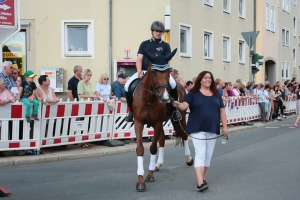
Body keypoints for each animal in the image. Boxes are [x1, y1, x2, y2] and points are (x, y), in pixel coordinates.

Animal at [132, 48, 193, 192]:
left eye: (168, 71)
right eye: (154, 71)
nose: (165, 97)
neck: (149, 99)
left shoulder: (157, 123)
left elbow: (153, 148)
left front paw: (149, 175)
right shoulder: (139, 123)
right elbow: (140, 149)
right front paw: (140, 180)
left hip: (180, 117)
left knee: (184, 135)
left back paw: (188, 158)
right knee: (162, 140)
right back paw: (158, 164)